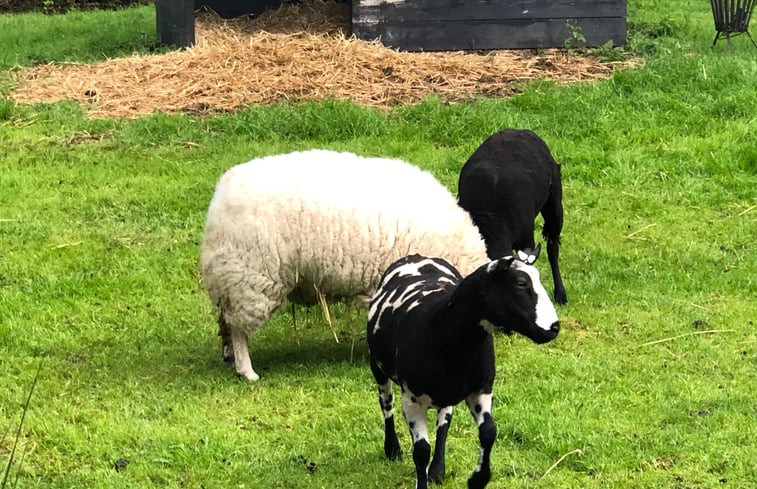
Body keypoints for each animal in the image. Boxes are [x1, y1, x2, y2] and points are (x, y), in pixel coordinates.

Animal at [198, 149, 488, 382]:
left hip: (230, 280)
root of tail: (222, 193)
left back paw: (229, 357)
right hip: (250, 276)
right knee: (238, 330)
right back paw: (246, 370)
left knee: (226, 323)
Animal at [370, 248, 560, 488]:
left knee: (444, 421)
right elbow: (421, 451)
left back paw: (437, 470)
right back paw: (392, 449)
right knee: (386, 404)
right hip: (377, 367)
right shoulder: (411, 399)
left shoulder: (481, 389)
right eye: (520, 284)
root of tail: (417, 256)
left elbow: (489, 432)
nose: (554, 327)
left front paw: (479, 478)